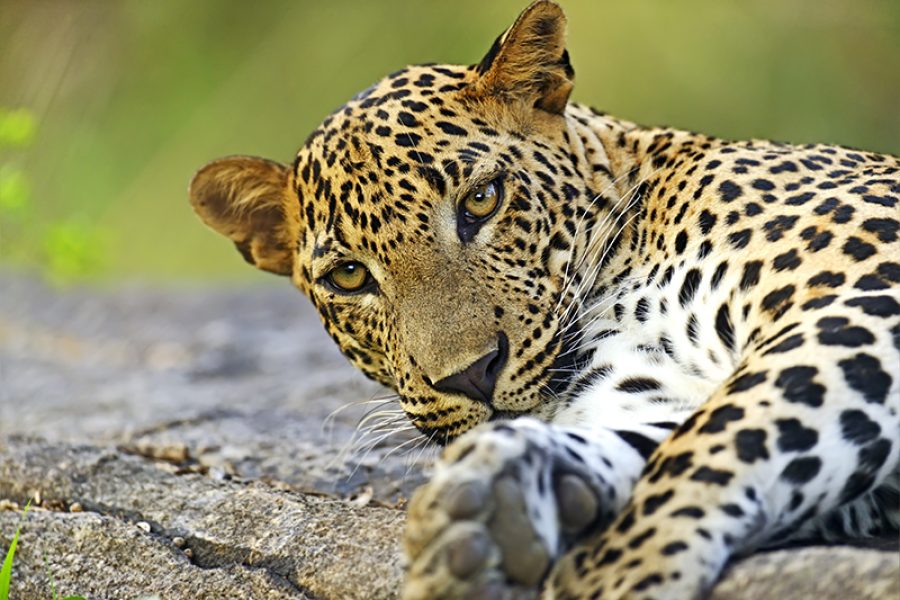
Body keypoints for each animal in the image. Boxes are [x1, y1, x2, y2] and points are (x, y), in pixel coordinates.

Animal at [186, 2, 896, 596]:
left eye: (481, 200)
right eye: (350, 277)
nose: (471, 376)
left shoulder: (861, 291)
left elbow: (718, 438)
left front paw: (617, 577)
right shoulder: (649, 390)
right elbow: (668, 434)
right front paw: (497, 506)